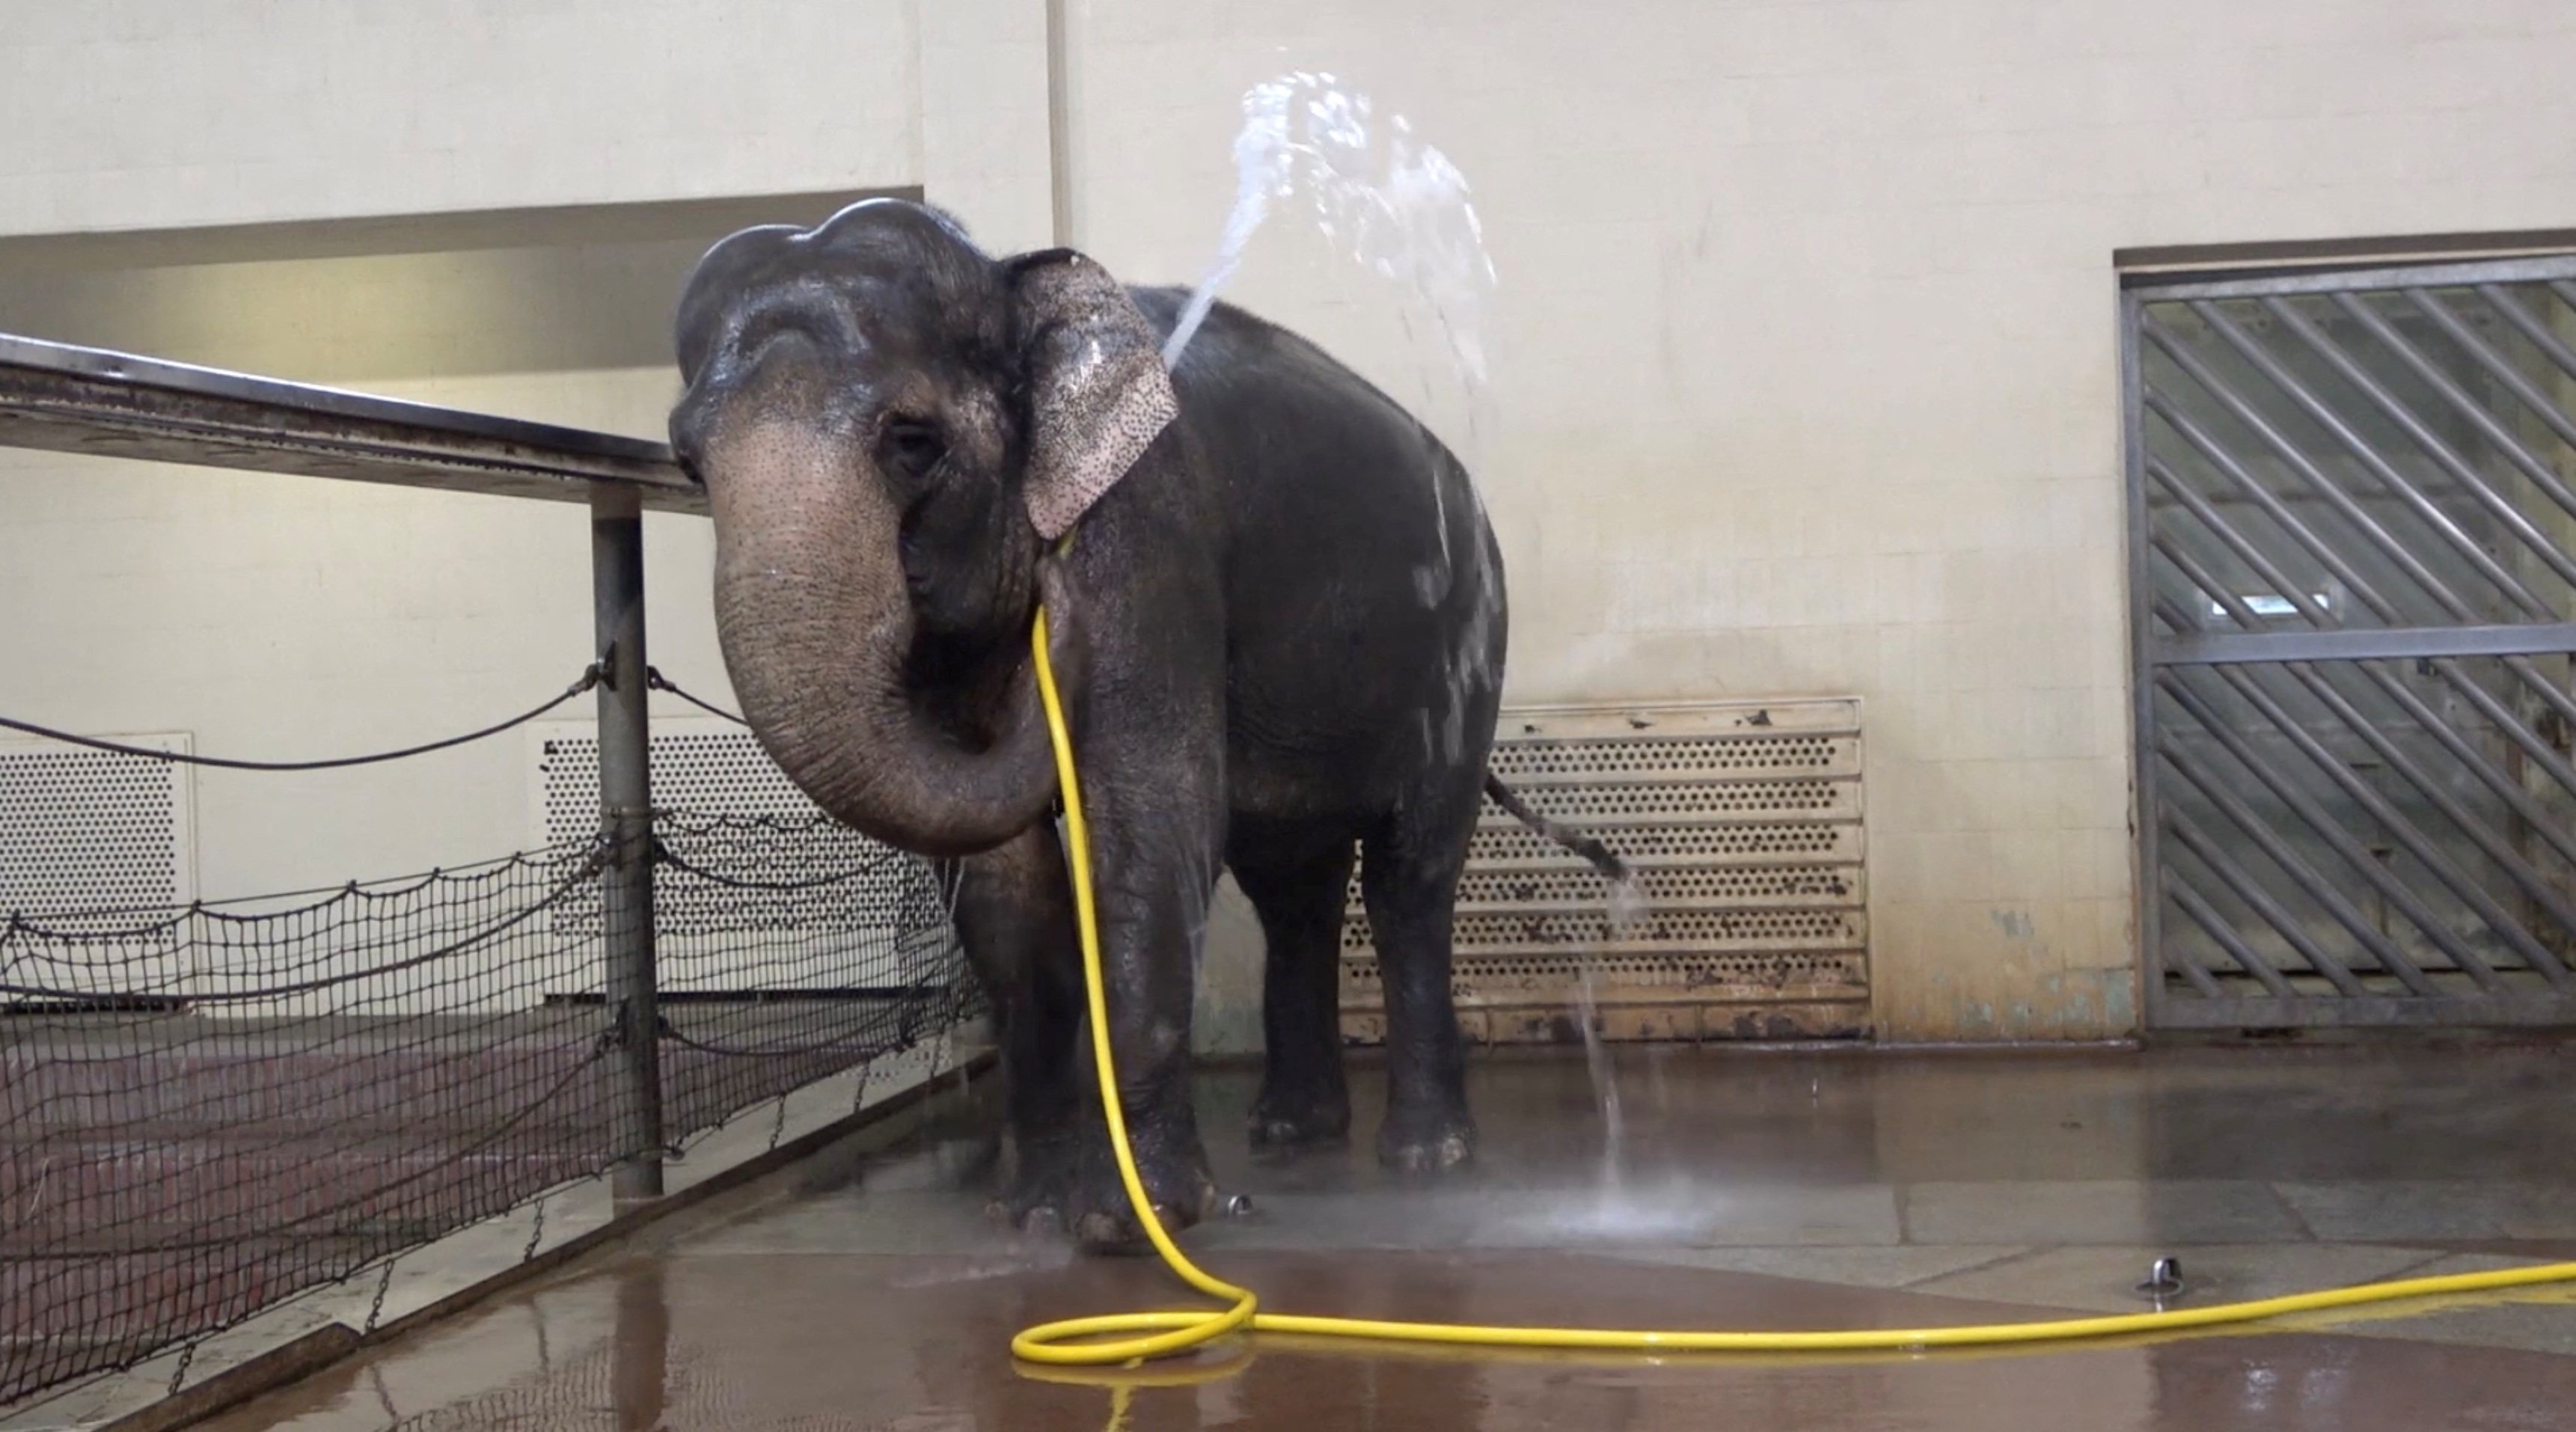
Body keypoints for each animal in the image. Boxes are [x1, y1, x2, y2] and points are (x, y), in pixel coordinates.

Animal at [675, 195, 1618, 1246]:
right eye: (687, 464)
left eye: (912, 442)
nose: (1053, 622)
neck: (1013, 279)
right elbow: (1001, 876)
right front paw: (1030, 1215)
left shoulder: (1148, 528)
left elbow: (1147, 814)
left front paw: (1133, 1225)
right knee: (1291, 887)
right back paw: (1294, 1134)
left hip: (1466, 646)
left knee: (1408, 875)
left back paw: (1425, 1157)